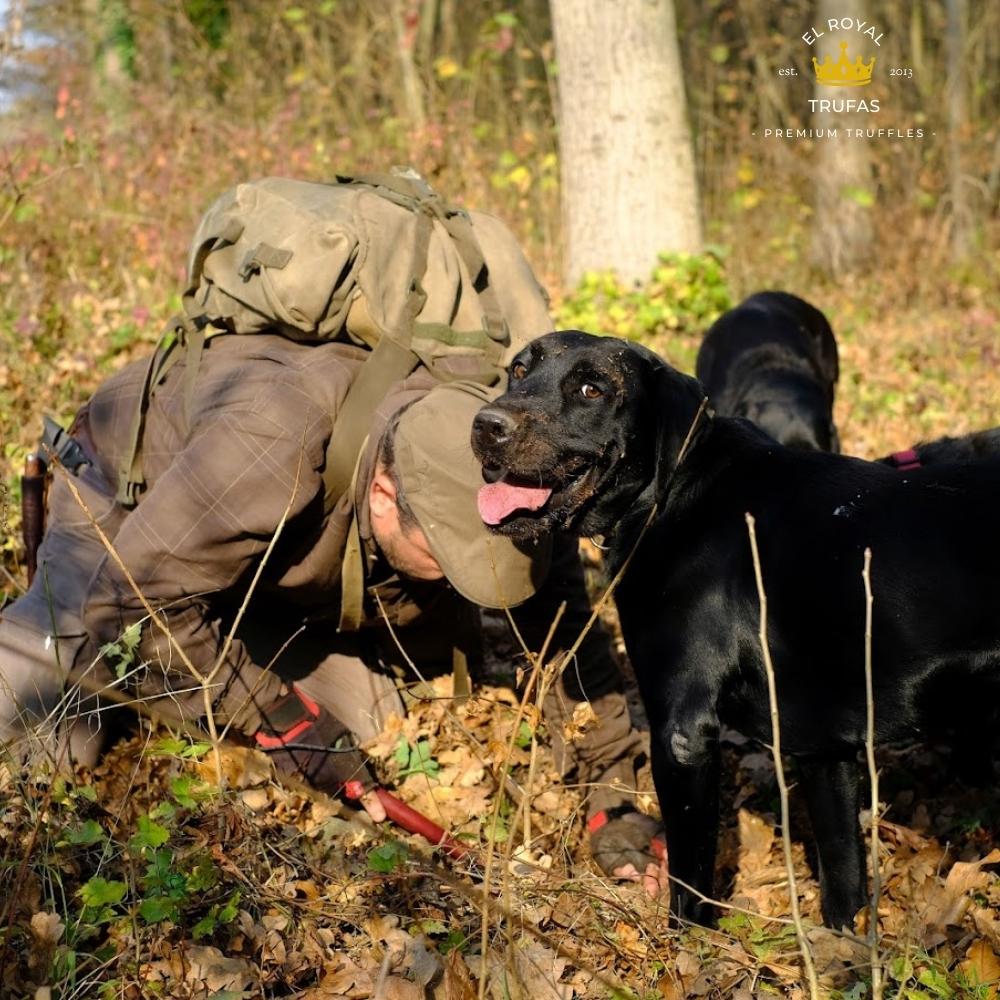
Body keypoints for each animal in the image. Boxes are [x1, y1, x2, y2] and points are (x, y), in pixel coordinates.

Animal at [472, 334, 1000, 928]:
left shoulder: (681, 734)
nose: (485, 425)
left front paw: (686, 944)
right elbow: (842, 872)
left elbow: (690, 878)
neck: (674, 492)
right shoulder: (824, 747)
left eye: (592, 389)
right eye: (519, 370)